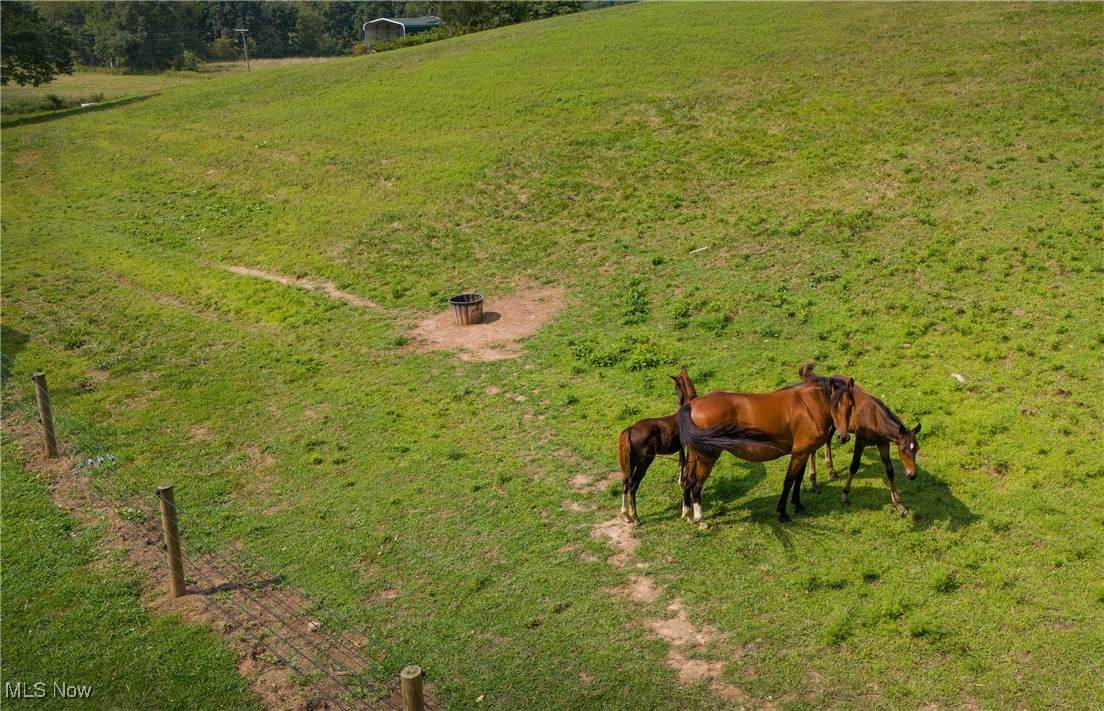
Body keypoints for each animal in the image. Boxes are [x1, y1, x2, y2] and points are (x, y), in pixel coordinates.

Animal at [618, 368, 693, 525]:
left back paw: (626, 515)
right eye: (675, 387)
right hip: (643, 464)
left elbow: (681, 462)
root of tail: (630, 429)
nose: (678, 401)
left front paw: (680, 483)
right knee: (633, 486)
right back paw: (636, 517)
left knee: (625, 482)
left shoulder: (681, 448)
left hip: (631, 463)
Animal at [671, 368, 852, 525]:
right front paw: (783, 512)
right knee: (696, 486)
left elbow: (798, 480)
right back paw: (701, 520)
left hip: (695, 455)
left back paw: (688, 514)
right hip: (707, 457)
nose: (843, 437)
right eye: (834, 405)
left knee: (687, 481)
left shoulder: (804, 453)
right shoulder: (798, 454)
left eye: (850, 406)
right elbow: (788, 481)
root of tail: (691, 405)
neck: (807, 406)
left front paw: (798, 506)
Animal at [803, 368, 922, 514]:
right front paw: (845, 496)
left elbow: (889, 470)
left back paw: (831, 470)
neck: (876, 419)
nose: (912, 475)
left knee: (828, 440)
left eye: (917, 448)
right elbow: (854, 466)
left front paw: (900, 505)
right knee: (815, 446)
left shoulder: (883, 444)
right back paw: (814, 482)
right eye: (903, 449)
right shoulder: (860, 441)